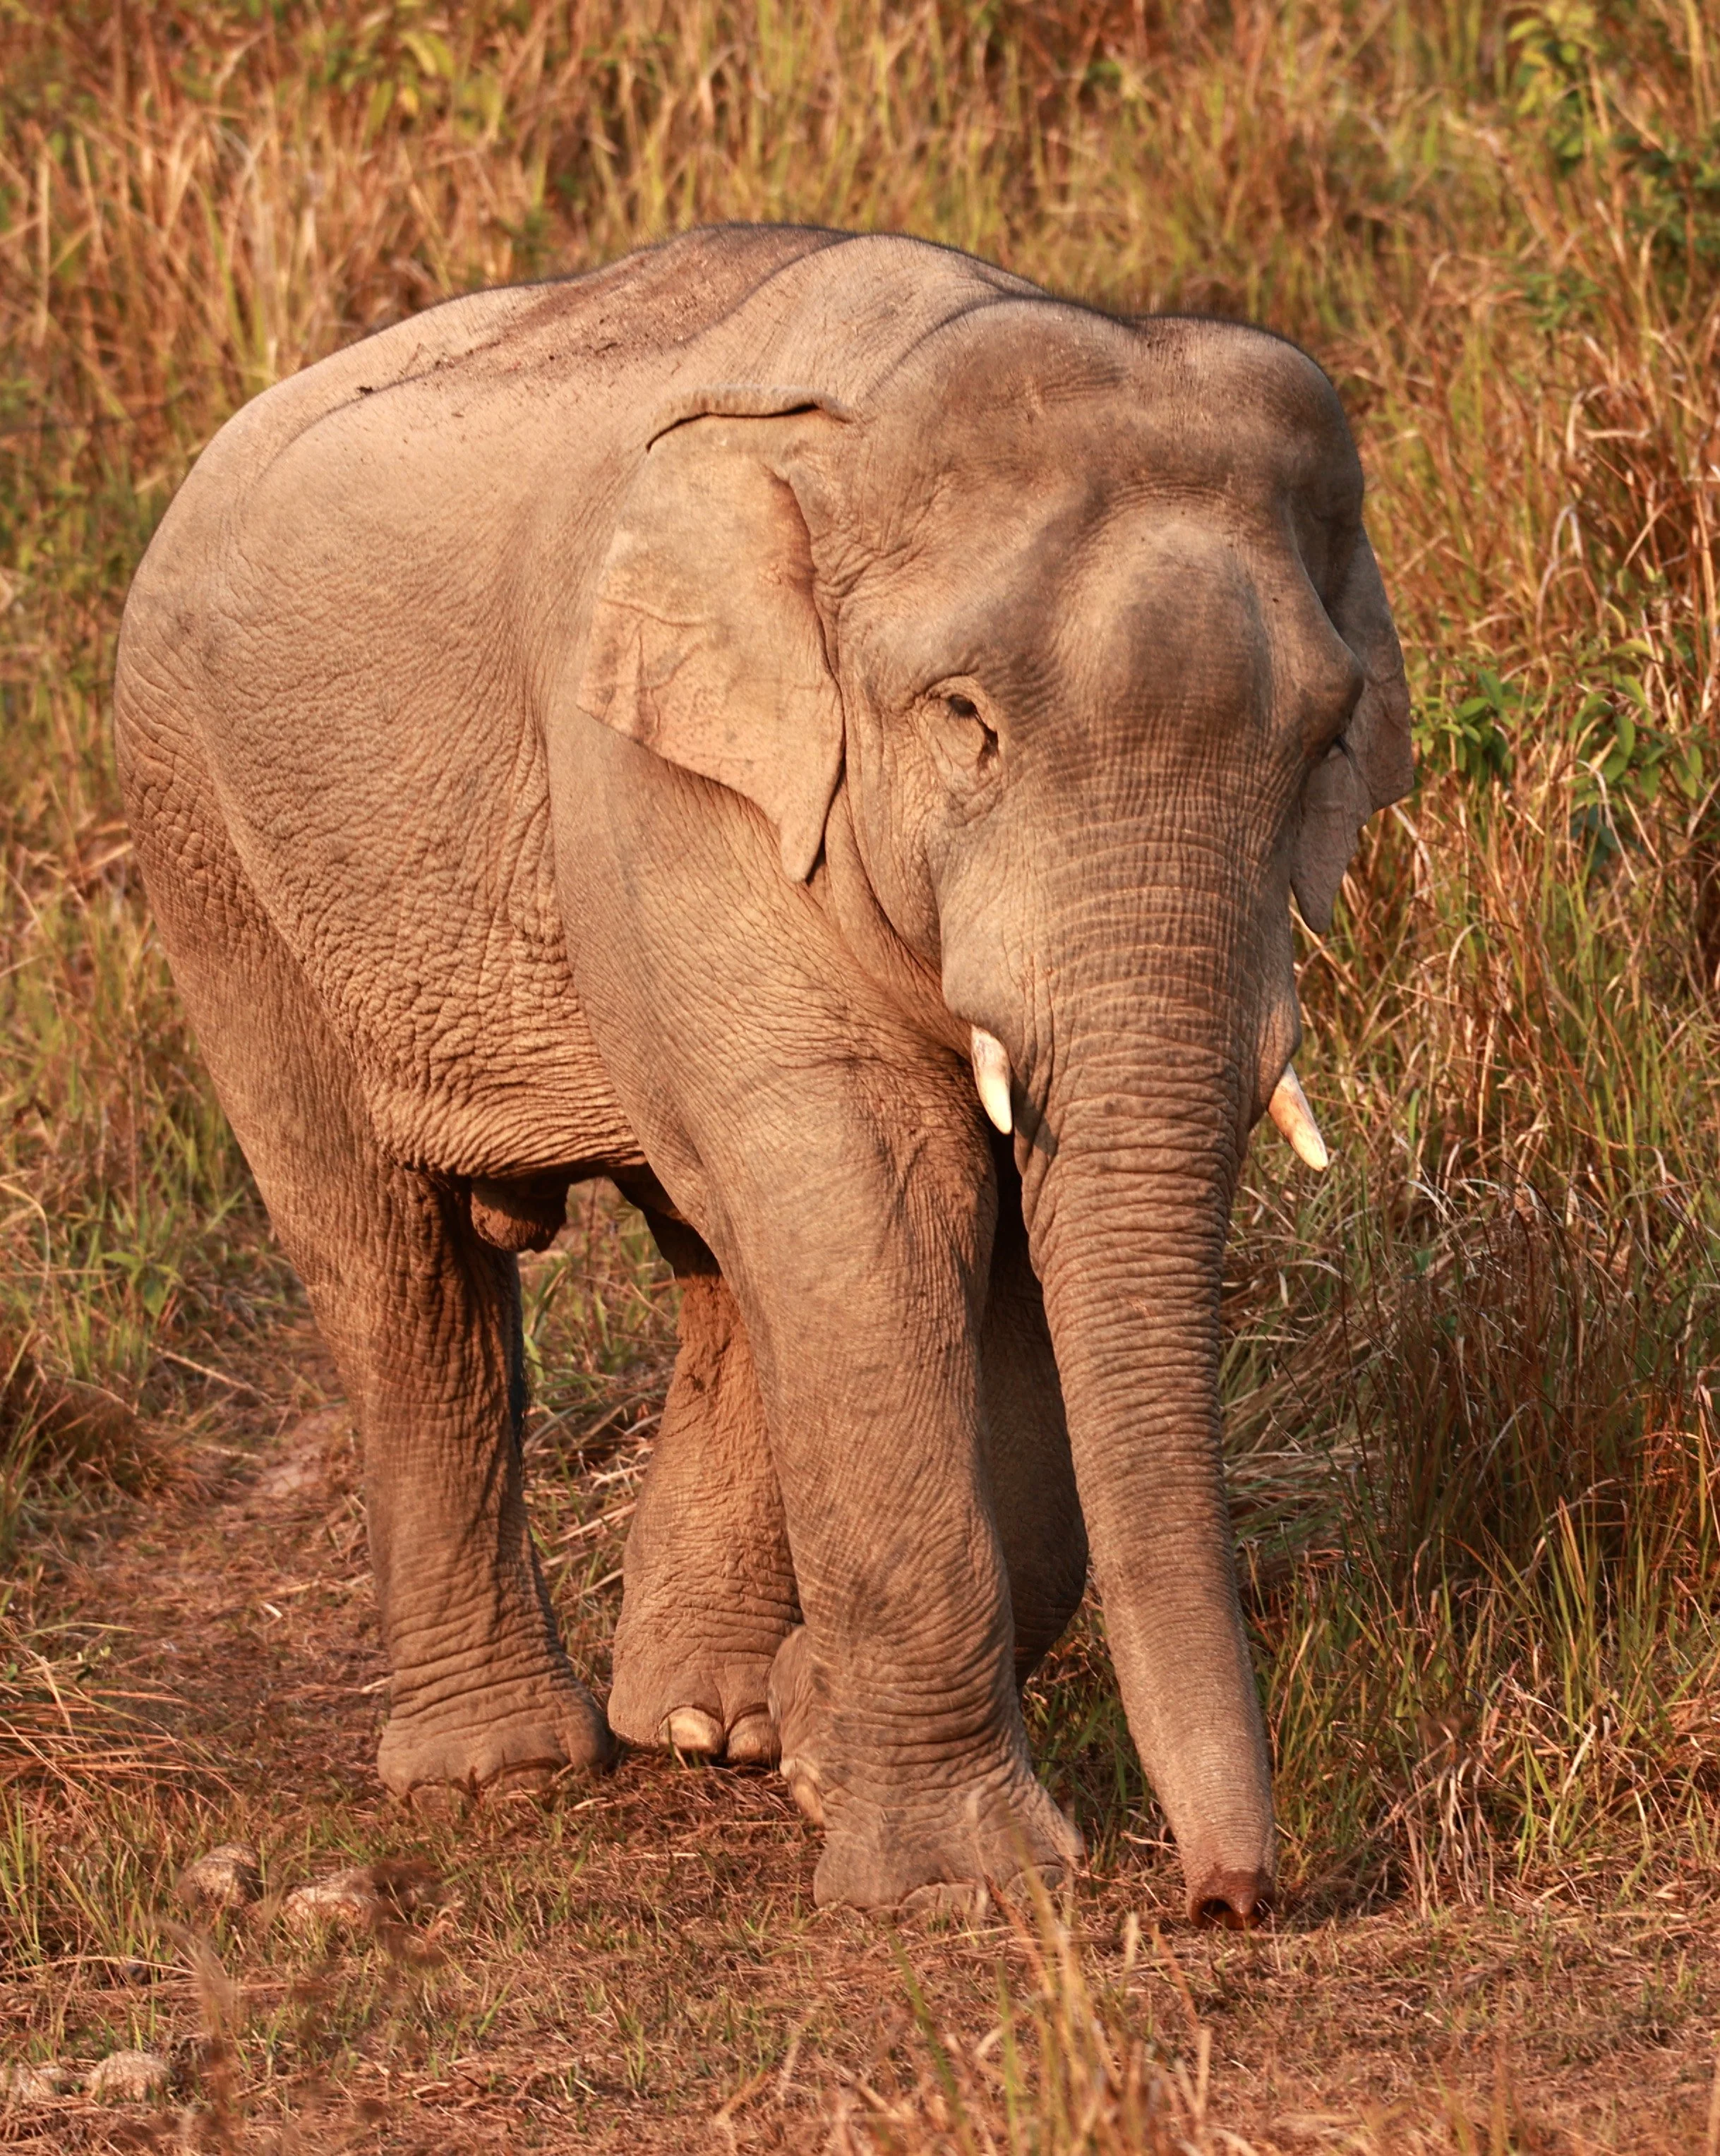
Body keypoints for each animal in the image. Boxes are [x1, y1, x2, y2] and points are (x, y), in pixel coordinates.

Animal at [114, 223, 1411, 1925]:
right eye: (964, 722)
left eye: (1325, 742)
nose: (1229, 1900)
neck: (866, 414)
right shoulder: (668, 782)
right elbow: (876, 1204)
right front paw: (948, 1886)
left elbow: (969, 1254)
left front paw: (810, 1744)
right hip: (212, 853)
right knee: (395, 1269)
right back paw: (503, 1770)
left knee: (713, 1253)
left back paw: (702, 1720)